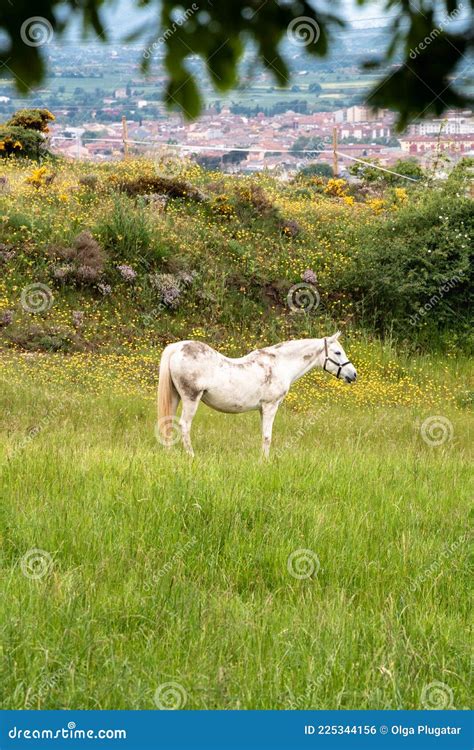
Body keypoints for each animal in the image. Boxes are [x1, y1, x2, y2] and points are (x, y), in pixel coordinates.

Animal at [157, 334, 358, 458]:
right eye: (338, 352)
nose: (353, 374)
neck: (280, 364)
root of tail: (177, 348)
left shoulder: (262, 409)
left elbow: (264, 435)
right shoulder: (270, 406)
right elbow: (267, 436)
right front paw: (265, 462)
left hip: (175, 397)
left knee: (169, 423)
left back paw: (169, 454)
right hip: (191, 398)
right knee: (184, 425)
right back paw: (191, 455)